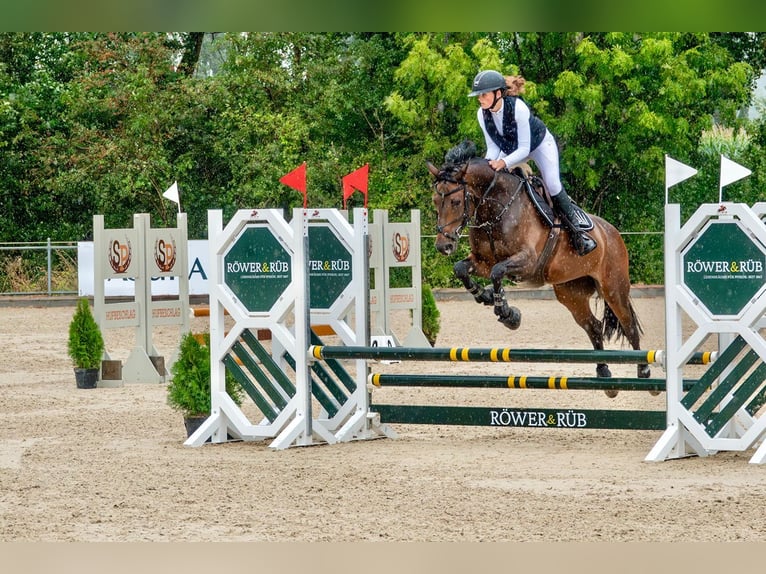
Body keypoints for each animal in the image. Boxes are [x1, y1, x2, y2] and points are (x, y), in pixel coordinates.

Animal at [427, 140, 650, 390]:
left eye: (456, 202)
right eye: (435, 202)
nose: (443, 245)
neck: (496, 210)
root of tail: (612, 232)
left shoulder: (528, 262)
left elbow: (497, 272)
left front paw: (508, 314)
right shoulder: (482, 262)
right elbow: (462, 269)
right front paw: (485, 296)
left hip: (613, 288)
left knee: (629, 326)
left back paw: (644, 371)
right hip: (571, 292)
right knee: (593, 326)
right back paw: (603, 372)